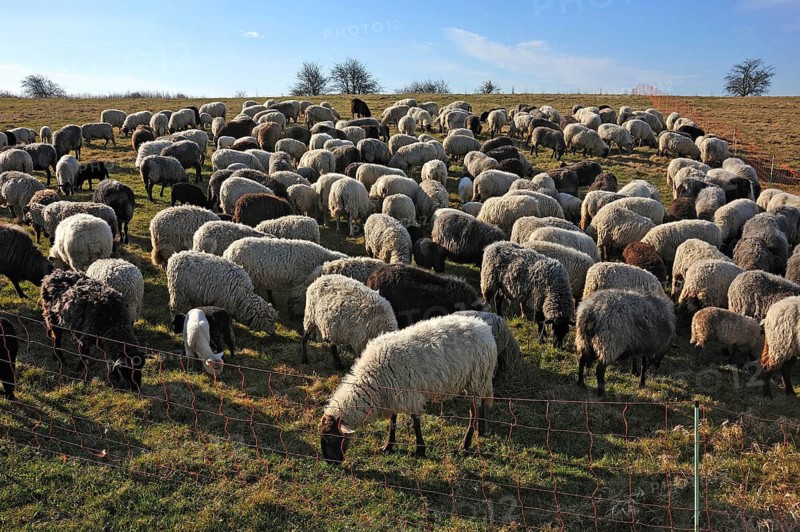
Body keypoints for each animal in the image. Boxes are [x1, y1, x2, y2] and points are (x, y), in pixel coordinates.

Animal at [319, 314, 495, 462]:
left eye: (331, 437)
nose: (330, 462)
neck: (372, 377)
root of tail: (484, 327)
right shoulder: (393, 394)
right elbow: (392, 422)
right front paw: (388, 446)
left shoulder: (410, 395)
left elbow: (415, 423)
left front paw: (420, 450)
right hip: (479, 380)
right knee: (481, 404)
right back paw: (482, 428)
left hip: (477, 378)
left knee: (473, 413)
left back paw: (465, 445)